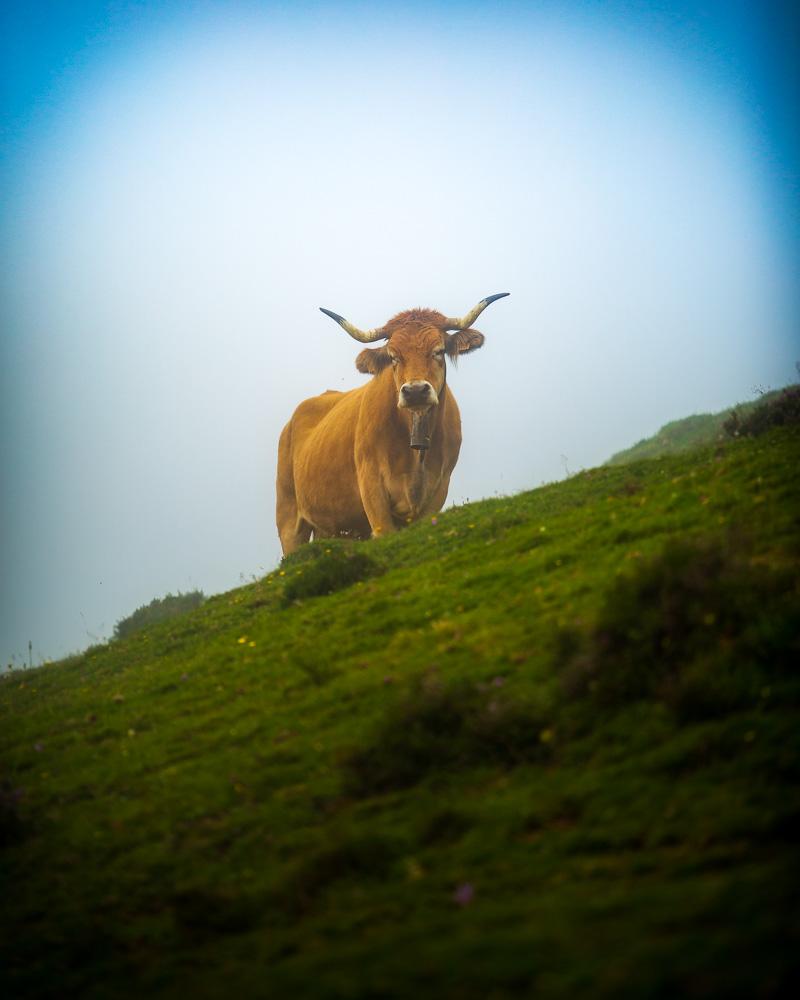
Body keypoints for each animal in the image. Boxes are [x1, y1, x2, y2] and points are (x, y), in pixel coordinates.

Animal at [278, 292, 510, 556]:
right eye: (393, 357)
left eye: (438, 351)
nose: (415, 391)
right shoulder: (372, 489)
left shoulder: (438, 489)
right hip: (288, 517)